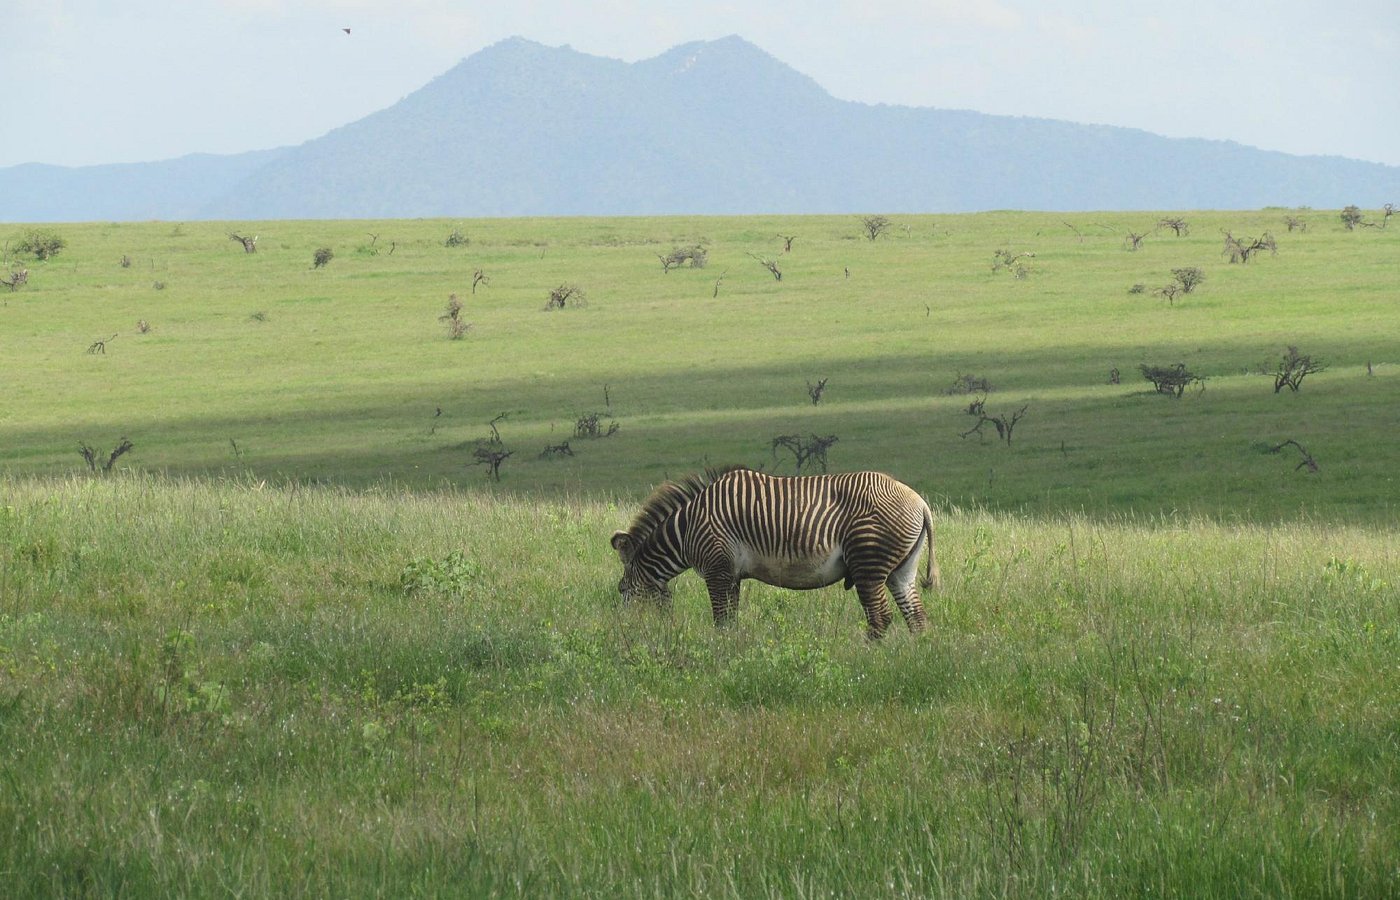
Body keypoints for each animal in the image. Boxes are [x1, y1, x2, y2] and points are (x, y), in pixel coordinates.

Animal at [604, 464, 940, 641]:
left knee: (881, 616)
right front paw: (733, 652)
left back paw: (866, 656)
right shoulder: (731, 575)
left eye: (622, 591)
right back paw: (914, 659)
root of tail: (919, 502)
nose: (625, 632)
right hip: (902, 569)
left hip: (868, 563)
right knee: (916, 617)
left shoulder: (716, 569)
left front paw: (720, 655)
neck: (688, 530)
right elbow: (730, 619)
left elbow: (721, 620)